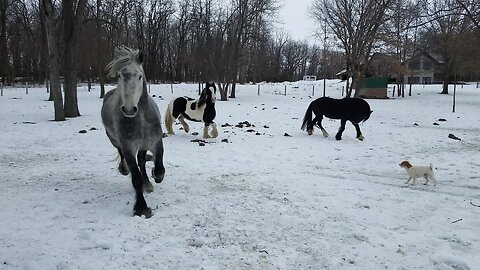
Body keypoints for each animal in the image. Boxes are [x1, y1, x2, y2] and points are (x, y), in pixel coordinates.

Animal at [101, 45, 165, 218]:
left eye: (140, 76)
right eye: (120, 76)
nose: (129, 109)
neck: (141, 119)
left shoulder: (156, 142)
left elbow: (159, 167)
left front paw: (155, 176)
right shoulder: (128, 147)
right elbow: (135, 177)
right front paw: (141, 208)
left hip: (142, 146)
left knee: (141, 161)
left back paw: (147, 183)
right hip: (114, 140)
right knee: (122, 154)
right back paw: (124, 169)